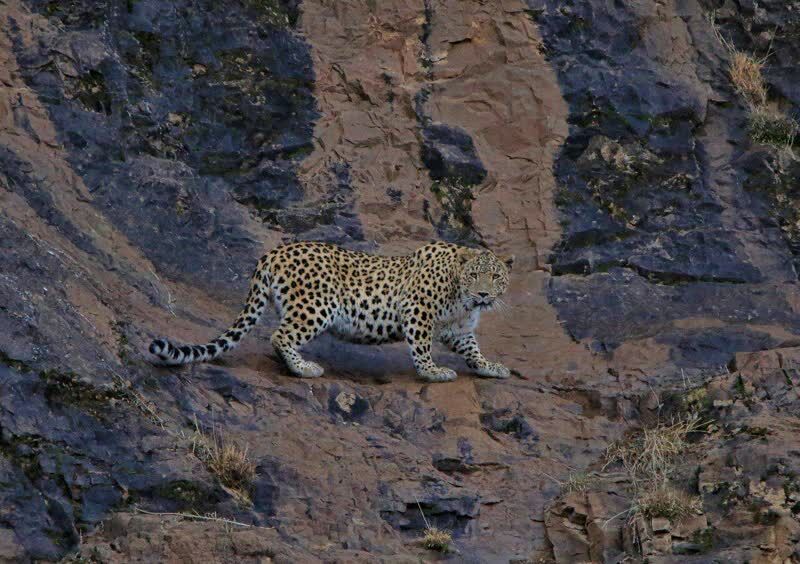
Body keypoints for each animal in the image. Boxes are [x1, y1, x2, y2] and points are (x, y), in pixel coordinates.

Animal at [148, 240, 512, 382]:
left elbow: (473, 350)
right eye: (475, 275)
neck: (462, 298)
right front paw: (432, 372)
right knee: (279, 335)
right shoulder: (417, 309)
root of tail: (273, 252)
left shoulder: (459, 329)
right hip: (315, 306)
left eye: (495, 277)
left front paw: (489, 367)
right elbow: (421, 347)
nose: (483, 293)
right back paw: (303, 368)